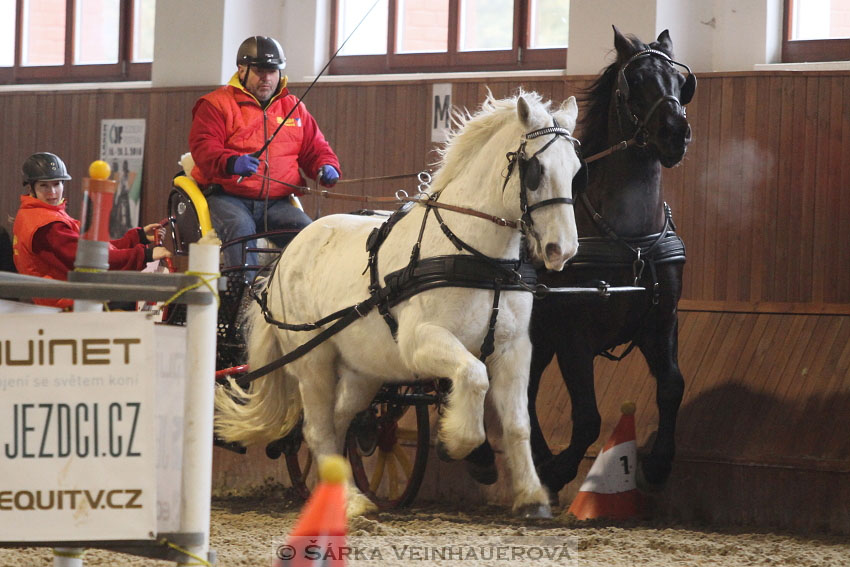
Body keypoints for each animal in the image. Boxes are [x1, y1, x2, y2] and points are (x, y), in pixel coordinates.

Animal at [215, 91, 580, 520]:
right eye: (536, 169)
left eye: (576, 169)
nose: (561, 250)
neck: (477, 257)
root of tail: (284, 257)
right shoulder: (420, 342)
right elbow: (474, 377)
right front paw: (455, 441)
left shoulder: (513, 348)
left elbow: (518, 422)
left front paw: (531, 497)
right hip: (313, 361)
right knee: (317, 428)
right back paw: (352, 500)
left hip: (362, 371)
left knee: (339, 421)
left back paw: (339, 492)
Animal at [528, 26, 692, 494]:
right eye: (634, 82)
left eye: (680, 81)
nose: (675, 132)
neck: (630, 240)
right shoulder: (572, 335)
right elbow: (587, 417)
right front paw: (560, 470)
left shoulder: (661, 321)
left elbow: (672, 386)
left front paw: (659, 463)